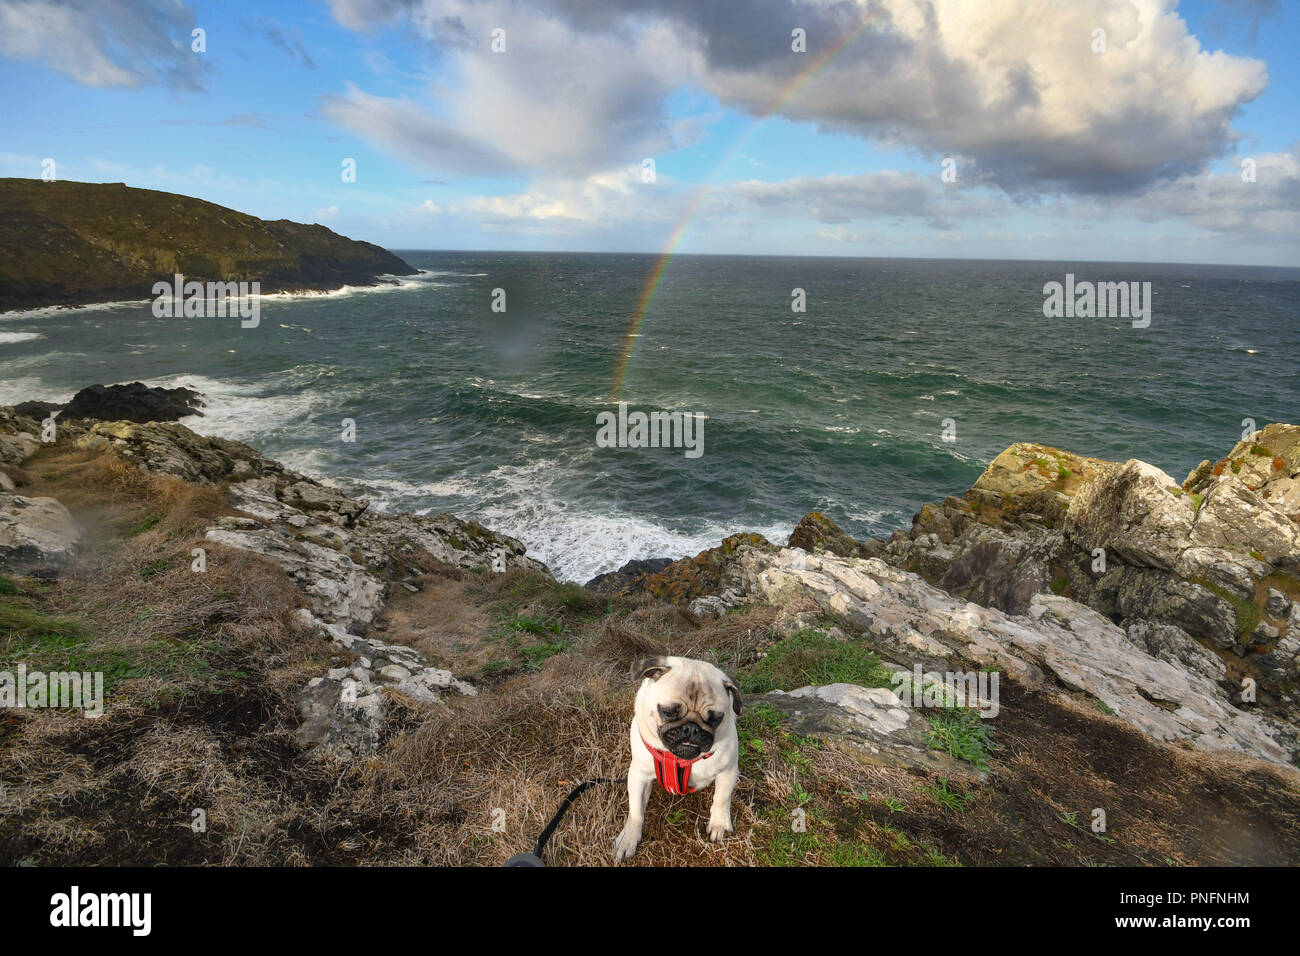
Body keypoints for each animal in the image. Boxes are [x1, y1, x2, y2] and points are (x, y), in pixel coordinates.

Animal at [611, 655, 743, 863]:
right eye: (668, 712)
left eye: (715, 719)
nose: (692, 728)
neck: (678, 758)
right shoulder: (638, 776)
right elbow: (636, 811)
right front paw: (628, 838)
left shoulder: (728, 771)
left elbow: (721, 799)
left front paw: (719, 823)